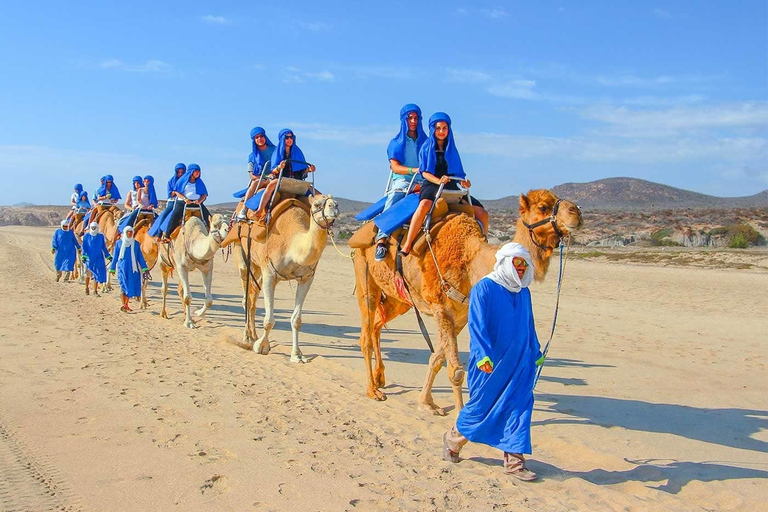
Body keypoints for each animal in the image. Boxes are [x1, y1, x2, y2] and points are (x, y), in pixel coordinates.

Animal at [225, 193, 340, 364]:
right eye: (317, 204)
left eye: (337, 203)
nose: (334, 207)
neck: (292, 244)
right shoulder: (270, 274)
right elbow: (269, 320)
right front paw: (261, 347)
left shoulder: (307, 278)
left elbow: (297, 320)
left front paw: (297, 355)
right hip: (242, 255)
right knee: (246, 297)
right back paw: (247, 338)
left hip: (257, 268)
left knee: (252, 298)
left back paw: (253, 335)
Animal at [352, 188, 584, 416]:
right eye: (543, 207)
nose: (576, 212)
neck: (470, 261)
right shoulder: (442, 308)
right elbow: (455, 370)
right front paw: (458, 418)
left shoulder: (461, 315)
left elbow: (437, 359)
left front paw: (426, 403)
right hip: (365, 276)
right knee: (366, 334)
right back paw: (373, 390)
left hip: (400, 298)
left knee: (377, 324)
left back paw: (380, 378)